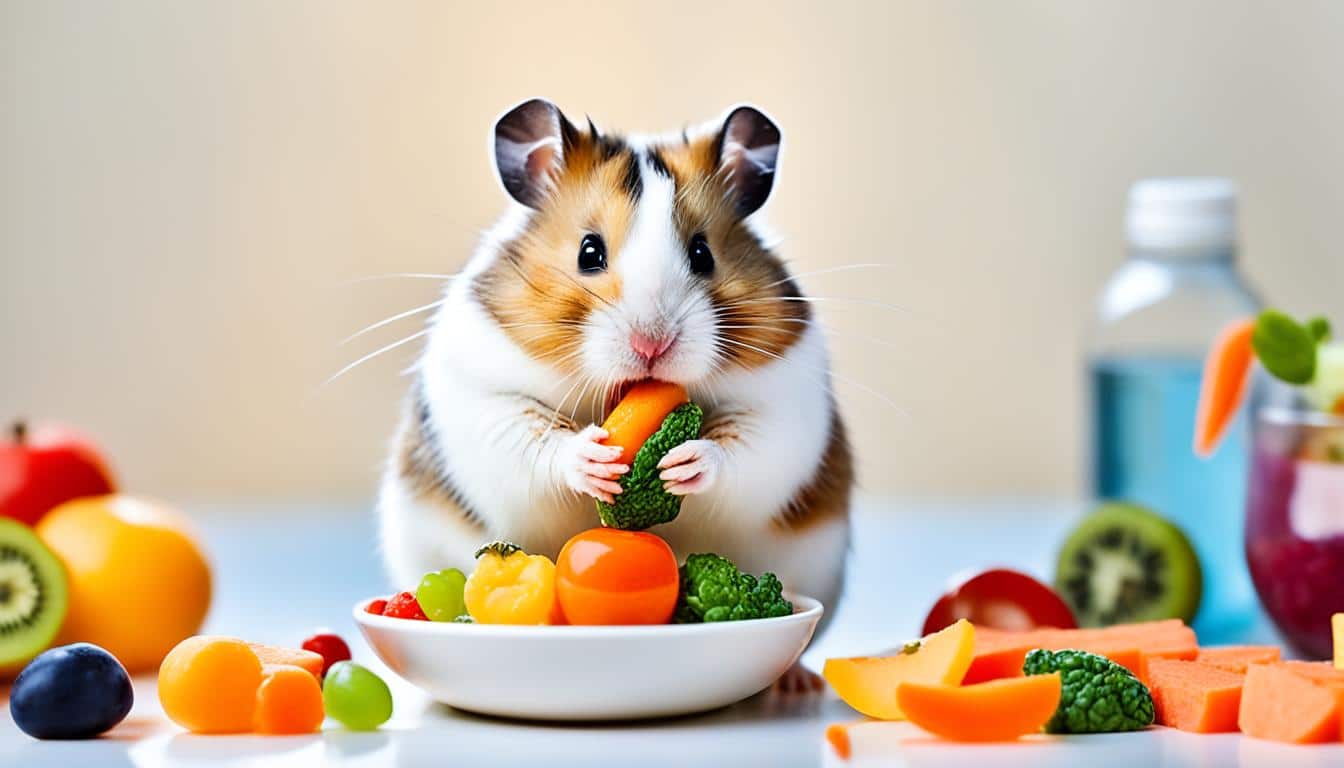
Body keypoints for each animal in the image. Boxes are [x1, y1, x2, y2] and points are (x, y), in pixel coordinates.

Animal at [378, 98, 853, 632]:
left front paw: (681, 462)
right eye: (589, 251)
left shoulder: (784, 409)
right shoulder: (485, 401)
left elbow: (738, 450)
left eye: (702, 253)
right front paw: (595, 460)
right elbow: (534, 440)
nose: (652, 345)